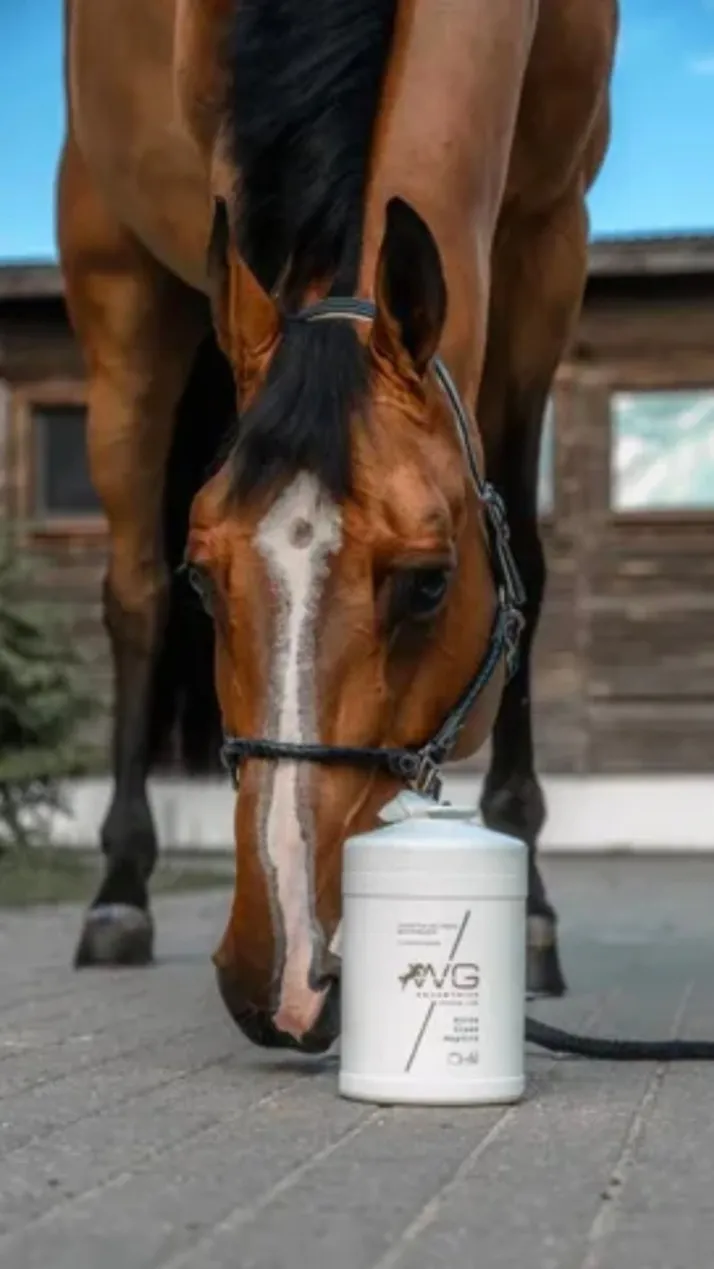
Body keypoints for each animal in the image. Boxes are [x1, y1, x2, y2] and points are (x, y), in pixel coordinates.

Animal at [58, 0, 618, 1051]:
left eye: (432, 581)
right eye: (206, 577)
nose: (282, 978)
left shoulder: (549, 240)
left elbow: (525, 556)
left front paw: (530, 914)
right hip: (116, 280)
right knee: (130, 598)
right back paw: (117, 895)